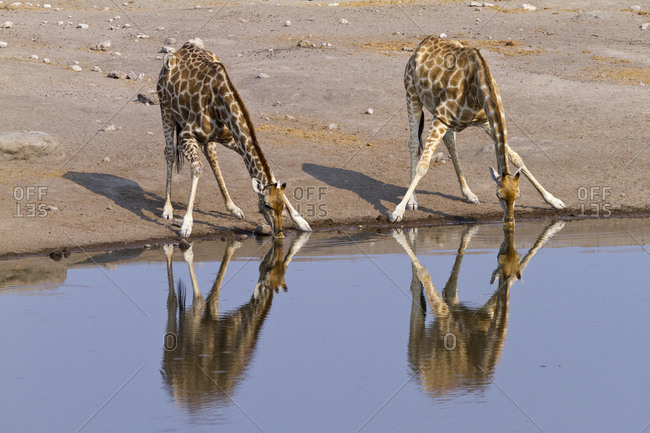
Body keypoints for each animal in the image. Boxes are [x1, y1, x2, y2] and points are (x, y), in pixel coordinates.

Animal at [157, 38, 311, 238]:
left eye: (282, 205)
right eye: (266, 205)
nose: (279, 233)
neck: (220, 103)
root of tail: (180, 50)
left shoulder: (232, 138)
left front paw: (301, 221)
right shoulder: (186, 135)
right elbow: (197, 169)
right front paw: (186, 224)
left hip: (209, 138)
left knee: (211, 155)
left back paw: (233, 207)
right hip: (165, 107)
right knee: (169, 152)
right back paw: (167, 209)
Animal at [162, 233, 310, 410]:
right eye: (270, 267)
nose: (269, 255)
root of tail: (175, 389)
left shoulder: (212, 319)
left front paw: (233, 244)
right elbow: (210, 296)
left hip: (174, 351)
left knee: (172, 301)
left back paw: (169, 249)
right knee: (196, 299)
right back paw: (184, 251)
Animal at [388, 36, 566, 226]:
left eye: (518, 195)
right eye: (498, 195)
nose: (509, 220)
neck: (478, 85)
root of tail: (423, 43)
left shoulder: (485, 120)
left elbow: (516, 157)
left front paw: (554, 200)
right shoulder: (441, 117)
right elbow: (423, 166)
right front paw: (397, 212)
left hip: (448, 120)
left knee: (450, 141)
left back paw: (469, 194)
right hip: (412, 95)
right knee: (414, 144)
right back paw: (412, 201)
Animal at [393, 220, 565, 396]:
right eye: (502, 257)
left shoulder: (481, 313)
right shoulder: (448, 319)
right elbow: (425, 273)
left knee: (436, 290)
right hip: (422, 345)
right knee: (421, 289)